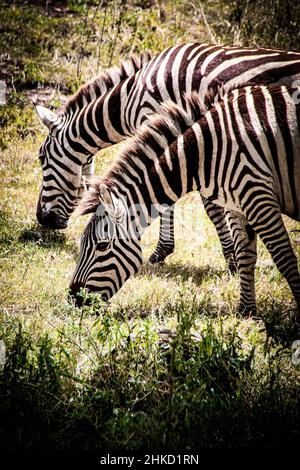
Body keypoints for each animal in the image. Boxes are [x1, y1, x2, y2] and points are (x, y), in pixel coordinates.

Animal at [36, 43, 300, 264]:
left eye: (42, 159)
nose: (42, 219)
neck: (130, 98)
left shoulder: (175, 130)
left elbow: (201, 206)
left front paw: (168, 252)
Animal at [69, 84, 300, 320]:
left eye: (102, 245)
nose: (73, 299)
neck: (205, 151)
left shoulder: (258, 195)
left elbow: (284, 257)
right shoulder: (240, 204)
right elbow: (245, 255)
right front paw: (246, 312)